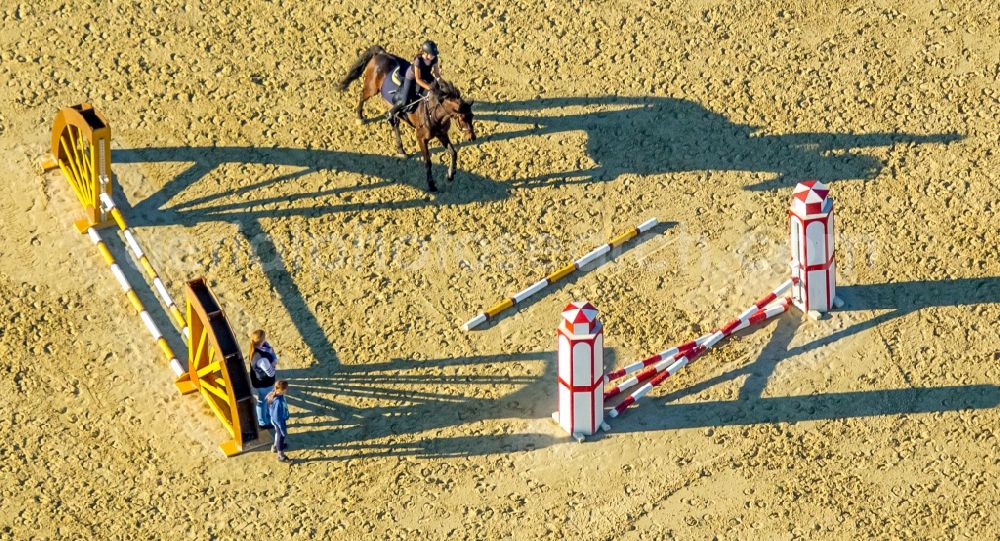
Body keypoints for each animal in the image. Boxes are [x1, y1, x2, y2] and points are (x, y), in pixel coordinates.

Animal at [336, 44, 476, 192]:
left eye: (471, 116)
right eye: (462, 118)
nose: (472, 138)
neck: (436, 111)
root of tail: (381, 53)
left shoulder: (442, 134)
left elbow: (453, 152)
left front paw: (450, 176)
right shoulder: (421, 138)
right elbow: (428, 162)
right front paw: (431, 185)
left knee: (394, 121)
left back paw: (401, 150)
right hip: (372, 88)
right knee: (363, 96)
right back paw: (360, 117)